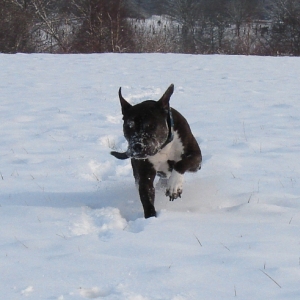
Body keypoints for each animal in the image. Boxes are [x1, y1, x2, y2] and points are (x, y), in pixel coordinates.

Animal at [110, 84, 202, 218]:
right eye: (129, 126)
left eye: (151, 126)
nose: (137, 146)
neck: (162, 148)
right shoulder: (144, 175)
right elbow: (146, 196)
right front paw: (151, 218)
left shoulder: (196, 158)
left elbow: (181, 164)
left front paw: (175, 186)